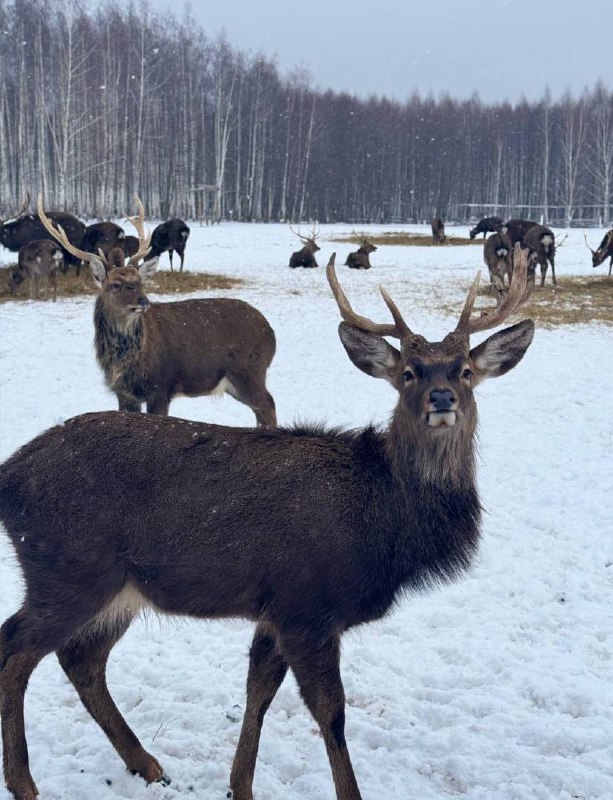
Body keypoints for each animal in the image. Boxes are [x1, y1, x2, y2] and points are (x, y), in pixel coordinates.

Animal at [0, 245, 532, 800]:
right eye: (409, 371)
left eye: (465, 370)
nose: (442, 397)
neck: (384, 521)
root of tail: (8, 475)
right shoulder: (308, 606)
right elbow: (330, 713)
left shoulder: (277, 608)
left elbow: (259, 690)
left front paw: (239, 785)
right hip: (68, 568)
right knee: (15, 646)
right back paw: (24, 781)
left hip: (118, 586)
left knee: (81, 659)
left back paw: (145, 763)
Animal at [37, 194, 276, 424]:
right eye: (115, 285)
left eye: (139, 282)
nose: (144, 301)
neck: (127, 362)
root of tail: (271, 334)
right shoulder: (124, 393)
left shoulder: (161, 387)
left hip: (249, 371)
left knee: (268, 404)